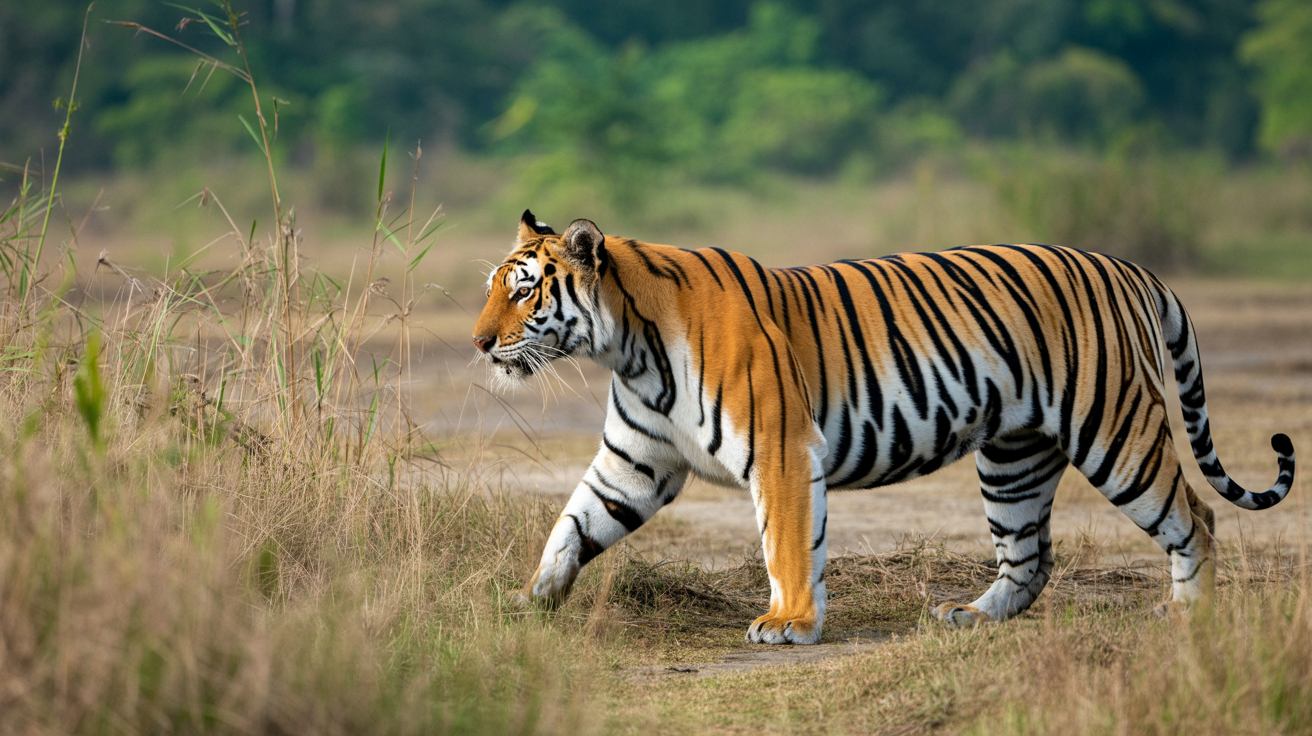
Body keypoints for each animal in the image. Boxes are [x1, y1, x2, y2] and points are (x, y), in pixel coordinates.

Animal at [472, 209, 1297, 644]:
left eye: (523, 292)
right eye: (492, 290)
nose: (479, 344)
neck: (630, 347)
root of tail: (1131, 269)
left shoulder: (779, 447)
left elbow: (786, 543)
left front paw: (789, 623)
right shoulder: (633, 462)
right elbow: (572, 526)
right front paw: (530, 599)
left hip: (1116, 430)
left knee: (1196, 516)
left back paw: (1189, 615)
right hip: (1014, 457)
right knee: (1030, 556)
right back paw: (971, 615)